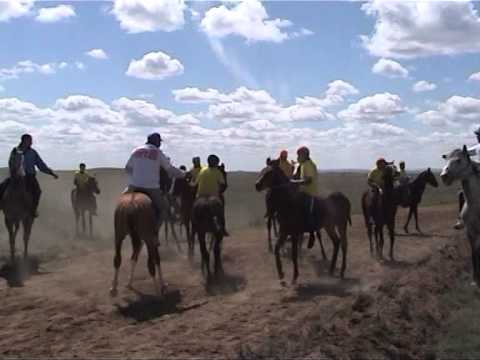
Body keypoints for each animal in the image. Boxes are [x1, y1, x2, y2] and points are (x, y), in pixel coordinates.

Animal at [440, 145, 480, 286]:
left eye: (459, 160)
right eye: (447, 159)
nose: (444, 176)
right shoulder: (470, 232)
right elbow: (474, 253)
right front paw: (475, 279)